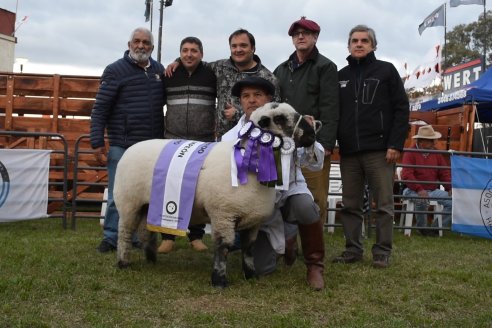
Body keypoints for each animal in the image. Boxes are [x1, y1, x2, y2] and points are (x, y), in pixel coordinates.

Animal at [114, 102, 318, 288]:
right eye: (279, 118)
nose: (312, 134)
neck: (250, 165)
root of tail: (131, 149)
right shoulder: (223, 214)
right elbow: (223, 246)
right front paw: (219, 280)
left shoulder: (253, 220)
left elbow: (248, 248)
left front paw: (250, 275)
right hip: (128, 202)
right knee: (125, 232)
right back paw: (123, 263)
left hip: (148, 204)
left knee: (145, 231)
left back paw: (151, 259)